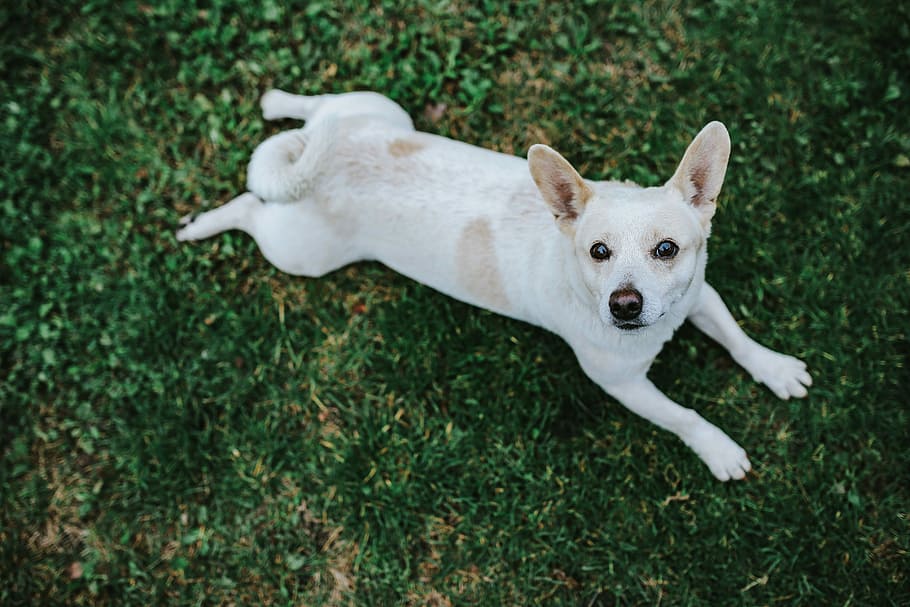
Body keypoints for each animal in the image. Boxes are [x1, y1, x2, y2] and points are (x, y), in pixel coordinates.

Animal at [178, 89, 812, 480]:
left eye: (667, 250)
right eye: (598, 252)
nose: (625, 305)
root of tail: (320, 158)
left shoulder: (700, 294)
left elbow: (737, 338)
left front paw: (775, 369)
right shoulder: (624, 385)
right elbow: (685, 416)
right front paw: (718, 449)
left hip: (380, 111)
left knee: (319, 108)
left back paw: (278, 101)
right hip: (298, 252)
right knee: (248, 204)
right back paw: (201, 224)